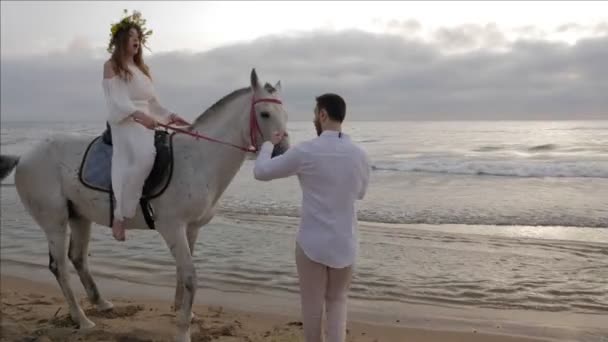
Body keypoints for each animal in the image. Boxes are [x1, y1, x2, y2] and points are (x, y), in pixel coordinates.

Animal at [0, 69, 290, 342]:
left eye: (285, 114)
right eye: (264, 114)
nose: (283, 152)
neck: (198, 160)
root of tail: (23, 157)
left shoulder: (191, 228)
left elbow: (182, 274)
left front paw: (185, 313)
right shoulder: (172, 227)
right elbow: (190, 276)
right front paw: (183, 331)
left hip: (80, 217)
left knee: (77, 258)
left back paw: (101, 303)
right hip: (55, 222)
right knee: (59, 266)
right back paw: (82, 319)